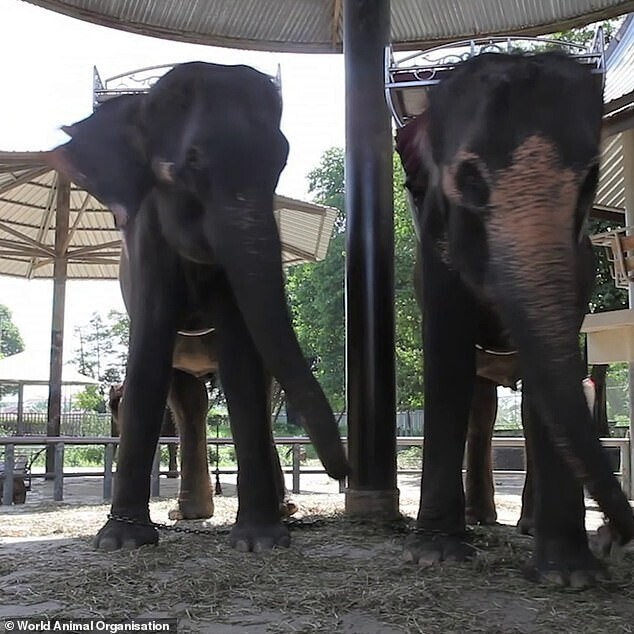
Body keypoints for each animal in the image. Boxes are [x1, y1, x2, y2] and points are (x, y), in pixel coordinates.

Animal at [47, 61, 348, 552]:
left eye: (281, 160)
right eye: (191, 163)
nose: (345, 471)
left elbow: (242, 359)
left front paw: (260, 542)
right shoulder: (146, 239)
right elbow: (149, 351)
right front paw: (121, 542)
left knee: (254, 387)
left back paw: (276, 510)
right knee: (189, 398)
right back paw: (190, 514)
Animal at [396, 51, 632, 584]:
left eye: (589, 180)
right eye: (470, 179)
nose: (613, 536)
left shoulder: (580, 263)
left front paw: (570, 575)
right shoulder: (434, 252)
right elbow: (447, 361)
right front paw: (436, 554)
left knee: (520, 409)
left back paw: (522, 524)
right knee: (481, 407)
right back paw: (479, 519)